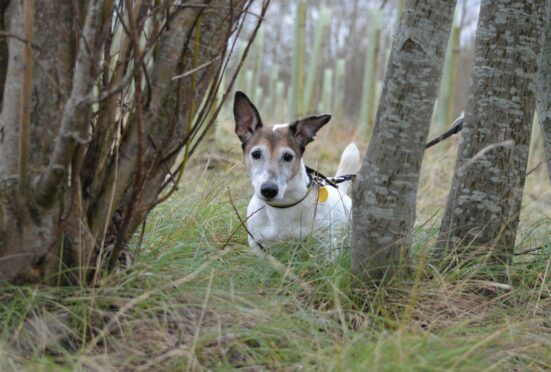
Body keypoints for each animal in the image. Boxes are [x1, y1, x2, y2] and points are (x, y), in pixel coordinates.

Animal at [233, 91, 362, 256]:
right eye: (256, 154)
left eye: (288, 156)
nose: (269, 190)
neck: (283, 206)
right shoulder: (258, 245)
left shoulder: (327, 244)